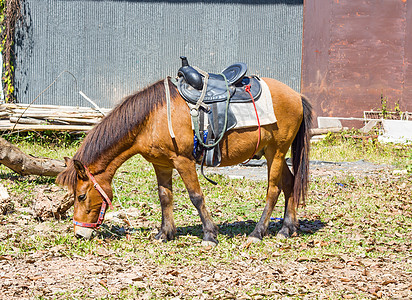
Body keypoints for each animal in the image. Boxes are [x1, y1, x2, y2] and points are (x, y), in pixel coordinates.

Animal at [55, 77, 312, 246]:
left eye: (81, 196)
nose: (79, 234)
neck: (151, 118)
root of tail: (296, 96)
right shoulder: (161, 164)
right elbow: (164, 197)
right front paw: (165, 233)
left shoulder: (183, 161)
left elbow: (196, 197)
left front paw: (209, 235)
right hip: (273, 153)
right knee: (290, 184)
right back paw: (287, 228)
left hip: (276, 152)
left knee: (273, 190)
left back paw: (258, 233)